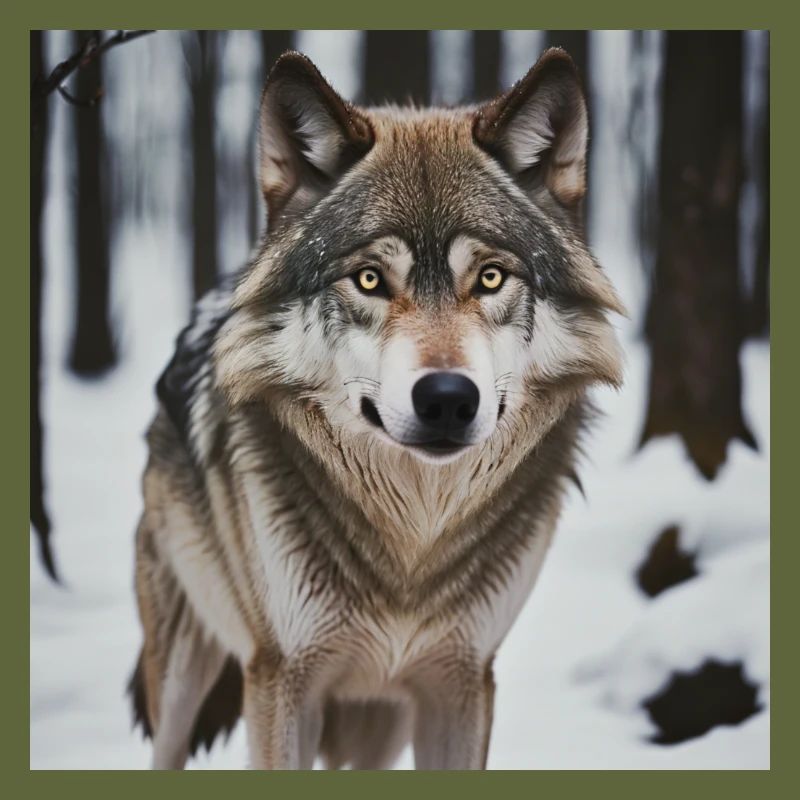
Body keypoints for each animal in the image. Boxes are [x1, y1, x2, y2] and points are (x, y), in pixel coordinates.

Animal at [129, 47, 625, 770]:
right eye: (369, 279)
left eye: (491, 277)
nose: (447, 399)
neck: (410, 545)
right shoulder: (282, 679)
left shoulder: (461, 681)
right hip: (184, 677)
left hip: (377, 726)